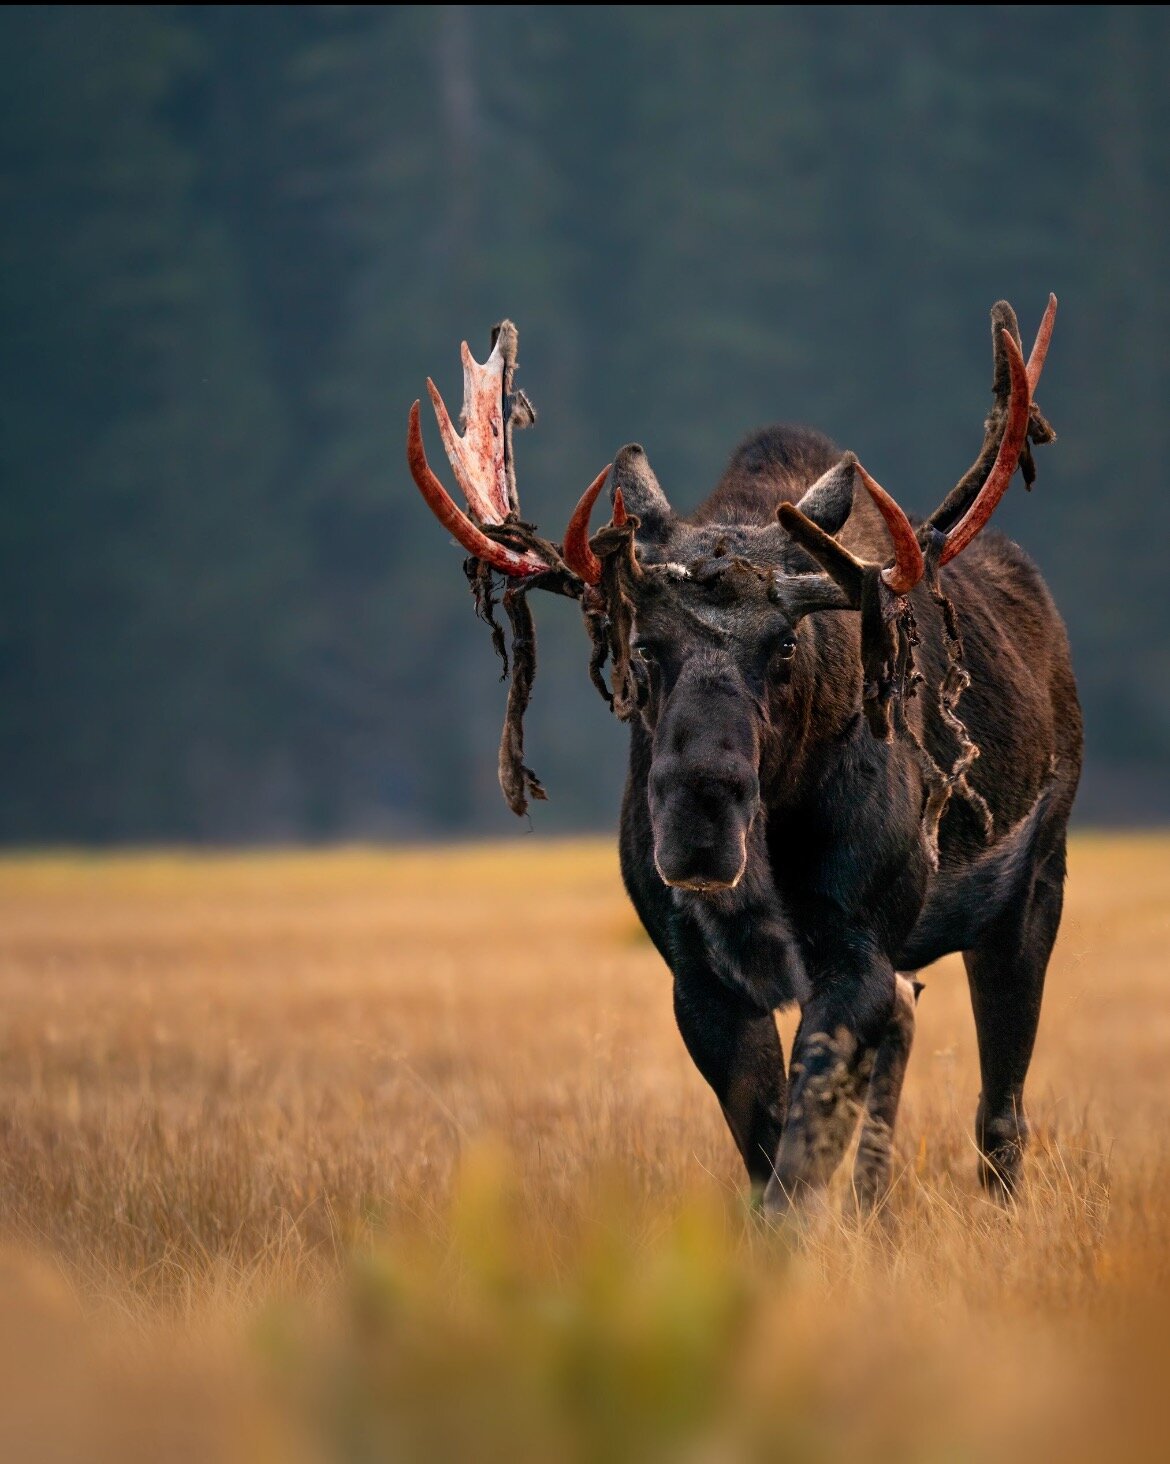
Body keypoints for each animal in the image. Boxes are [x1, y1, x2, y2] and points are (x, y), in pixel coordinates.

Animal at [404, 297, 1077, 1212]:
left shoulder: (855, 949)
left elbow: (796, 1168)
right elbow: (767, 1158)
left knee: (999, 1109)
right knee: (907, 1037)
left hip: (1032, 886)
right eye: (641, 646)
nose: (699, 821)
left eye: (786, 645)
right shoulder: (697, 977)